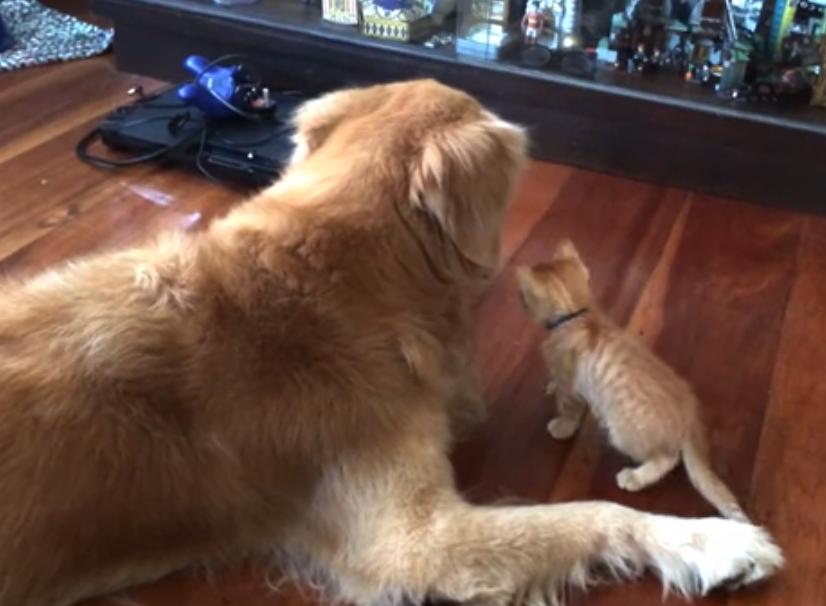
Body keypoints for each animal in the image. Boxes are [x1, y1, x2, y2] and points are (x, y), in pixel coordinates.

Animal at [520, 241, 748, 524]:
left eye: (523, 295)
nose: (519, 301)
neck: (578, 316)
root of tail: (689, 413)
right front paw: (551, 385)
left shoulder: (572, 388)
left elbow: (568, 410)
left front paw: (561, 427)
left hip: (621, 430)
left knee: (667, 458)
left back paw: (635, 477)